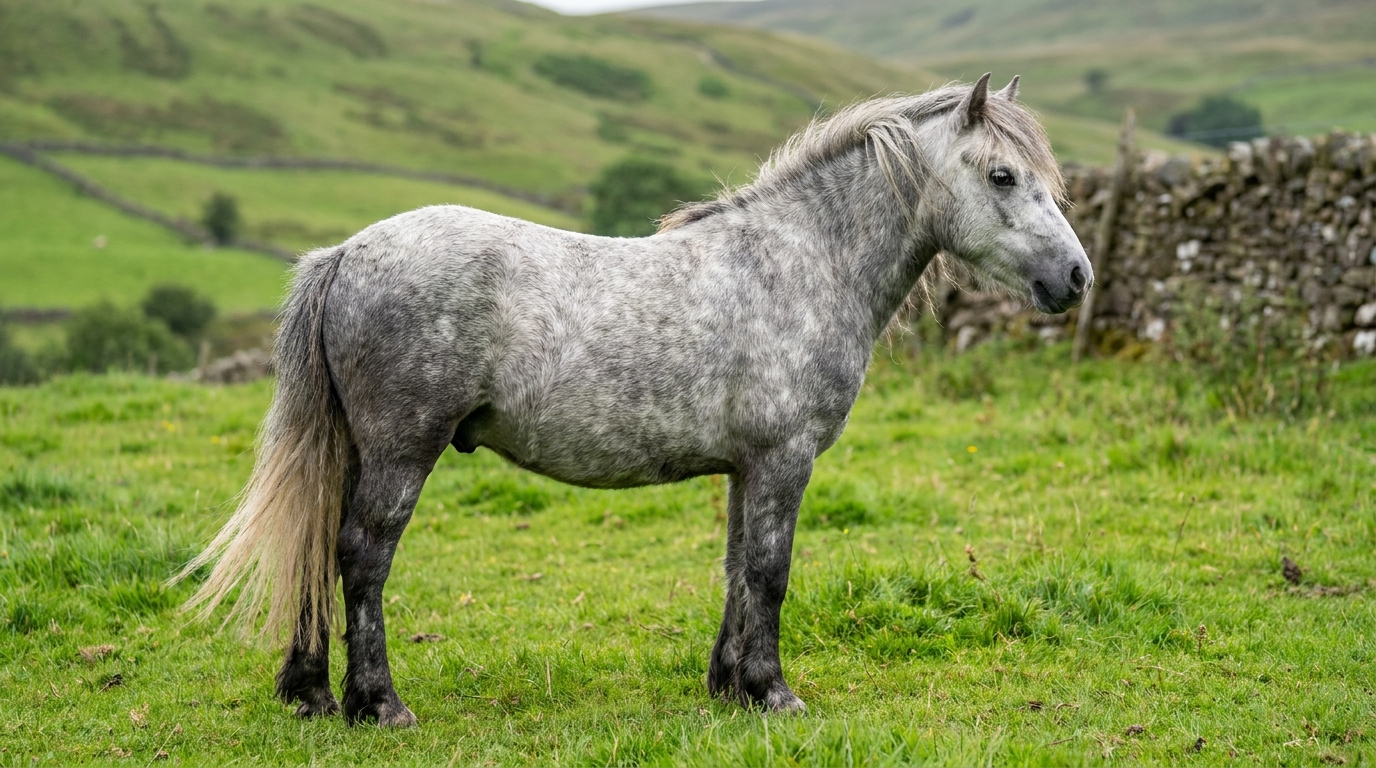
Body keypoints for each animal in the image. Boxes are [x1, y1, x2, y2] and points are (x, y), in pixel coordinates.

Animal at [176, 73, 1091, 727]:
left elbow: (736, 570)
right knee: (362, 559)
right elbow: (770, 573)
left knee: (316, 551)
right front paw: (774, 692)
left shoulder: (746, 468)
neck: (800, 262)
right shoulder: (783, 461)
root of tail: (344, 255)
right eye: (1003, 175)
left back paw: (311, 693)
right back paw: (379, 705)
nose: (1076, 278)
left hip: (355, 450)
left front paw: (729, 688)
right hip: (402, 451)